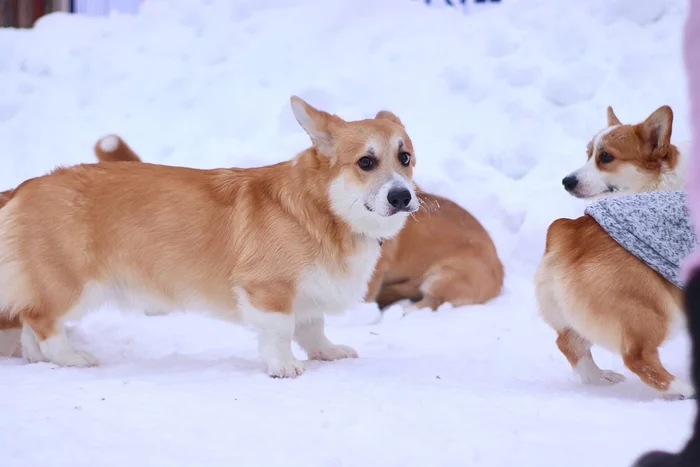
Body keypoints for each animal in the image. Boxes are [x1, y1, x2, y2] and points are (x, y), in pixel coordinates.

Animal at [0, 97, 416, 378]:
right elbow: (281, 330)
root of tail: (24, 188)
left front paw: (327, 352)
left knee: (29, 322)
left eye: (406, 157)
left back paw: (39, 358)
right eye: (365, 162)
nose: (402, 197)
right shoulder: (270, 289)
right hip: (73, 284)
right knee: (41, 318)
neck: (324, 209)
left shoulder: (310, 292)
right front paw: (284, 366)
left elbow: (314, 328)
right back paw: (71, 358)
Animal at [536, 107, 696, 402]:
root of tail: (570, 232)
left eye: (606, 157)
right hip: (654, 310)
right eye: (588, 153)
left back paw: (600, 378)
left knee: (569, 342)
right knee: (638, 358)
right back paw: (683, 389)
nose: (567, 181)